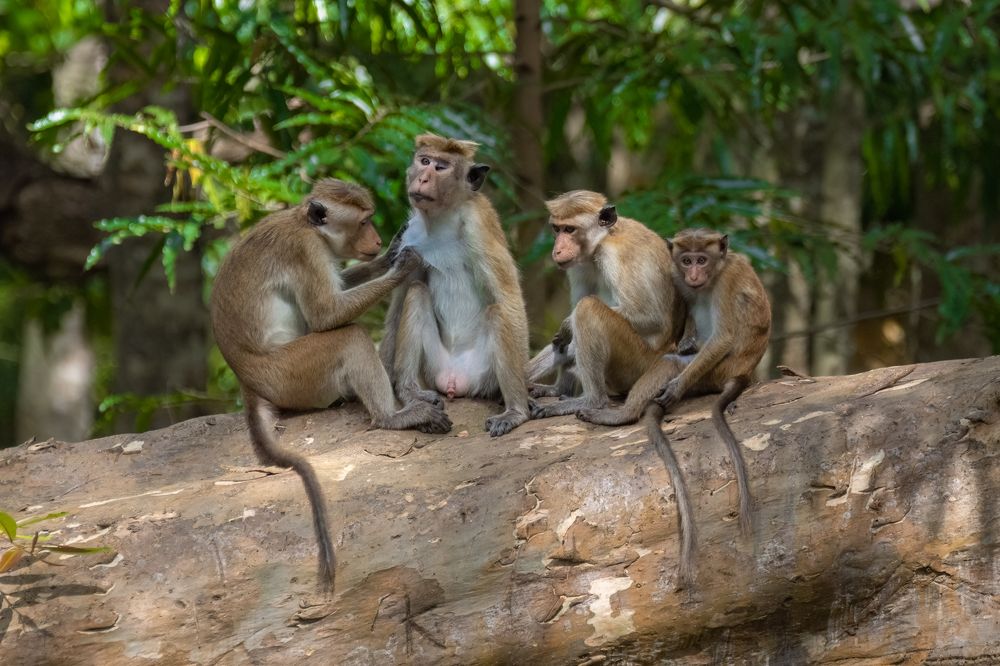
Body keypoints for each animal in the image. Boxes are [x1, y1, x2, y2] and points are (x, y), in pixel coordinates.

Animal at [211, 178, 452, 592]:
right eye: (364, 221)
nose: (376, 239)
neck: (309, 228)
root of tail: (249, 380)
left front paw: (390, 256)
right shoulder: (305, 252)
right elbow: (327, 315)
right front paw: (403, 266)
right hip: (293, 374)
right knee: (348, 337)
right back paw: (392, 417)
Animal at [379, 134, 531, 437]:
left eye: (441, 167)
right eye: (424, 161)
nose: (423, 178)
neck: (442, 219)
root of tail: (455, 379)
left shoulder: (479, 223)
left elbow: (507, 299)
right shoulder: (411, 239)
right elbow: (399, 304)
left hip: (483, 374)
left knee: (498, 314)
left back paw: (514, 411)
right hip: (434, 367)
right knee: (416, 293)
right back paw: (412, 393)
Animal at [526, 190, 684, 420]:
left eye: (570, 229)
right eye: (557, 229)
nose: (557, 250)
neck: (603, 239)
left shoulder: (614, 256)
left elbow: (652, 318)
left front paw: (567, 323)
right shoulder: (579, 265)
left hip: (636, 364)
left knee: (587, 308)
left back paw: (592, 401)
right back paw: (558, 390)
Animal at [578, 228, 771, 551]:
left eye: (701, 260)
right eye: (686, 260)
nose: (693, 273)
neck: (716, 273)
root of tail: (743, 373)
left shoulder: (728, 282)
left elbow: (722, 337)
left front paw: (676, 387)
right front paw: (687, 339)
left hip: (713, 373)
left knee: (670, 364)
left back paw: (623, 414)